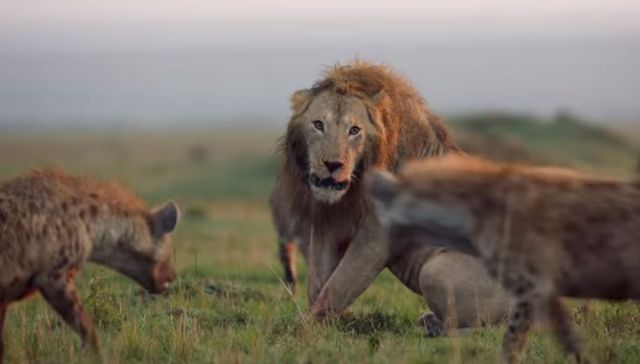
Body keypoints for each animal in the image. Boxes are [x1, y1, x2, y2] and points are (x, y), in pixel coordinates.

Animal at [272, 60, 510, 336]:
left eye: (354, 130)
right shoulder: (328, 223)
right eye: (318, 125)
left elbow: (338, 285)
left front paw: (301, 327)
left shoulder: (376, 236)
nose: (333, 165)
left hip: (435, 271)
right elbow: (318, 282)